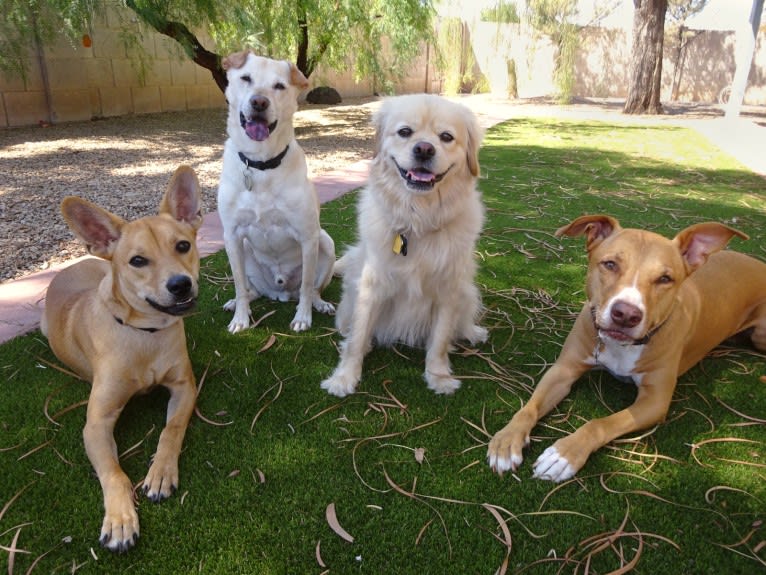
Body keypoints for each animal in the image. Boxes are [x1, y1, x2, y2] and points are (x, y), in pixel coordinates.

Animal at [41, 164, 204, 552]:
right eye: (138, 261)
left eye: (183, 245)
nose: (180, 284)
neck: (145, 336)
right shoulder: (96, 423)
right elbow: (113, 473)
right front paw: (119, 520)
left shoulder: (184, 387)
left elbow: (171, 429)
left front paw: (160, 473)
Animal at [320, 95, 488, 400]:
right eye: (405, 132)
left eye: (446, 137)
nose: (424, 149)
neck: (417, 220)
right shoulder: (371, 286)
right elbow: (357, 337)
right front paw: (344, 377)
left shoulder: (448, 290)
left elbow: (440, 340)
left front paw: (438, 377)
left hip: (466, 291)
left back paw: (472, 332)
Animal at [488, 214, 764, 484]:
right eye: (610, 264)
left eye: (665, 279)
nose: (626, 314)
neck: (620, 346)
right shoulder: (564, 370)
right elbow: (529, 408)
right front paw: (507, 440)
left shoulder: (655, 401)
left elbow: (601, 423)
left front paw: (564, 454)